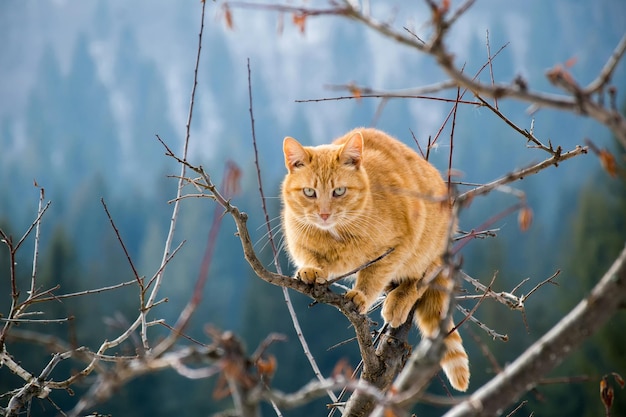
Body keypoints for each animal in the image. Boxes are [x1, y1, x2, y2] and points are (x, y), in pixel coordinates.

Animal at [280, 127, 468, 390]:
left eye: (339, 191)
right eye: (309, 192)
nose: (324, 214)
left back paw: (398, 301)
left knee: (420, 281)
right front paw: (311, 270)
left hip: (430, 251)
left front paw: (361, 294)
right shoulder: (298, 239)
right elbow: (311, 257)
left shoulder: (397, 247)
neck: (335, 234)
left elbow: (373, 276)